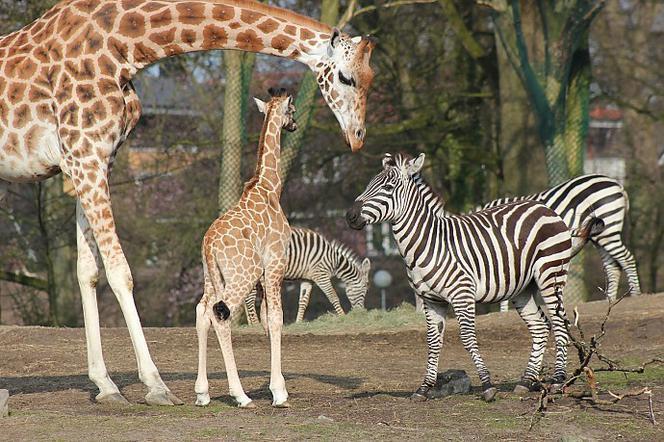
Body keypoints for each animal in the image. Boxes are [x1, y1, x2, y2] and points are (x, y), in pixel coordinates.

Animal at [193, 87, 294, 408]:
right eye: (293, 110)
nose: (294, 125)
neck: (270, 188)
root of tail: (209, 245)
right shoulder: (274, 266)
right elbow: (276, 319)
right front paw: (279, 393)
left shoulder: (263, 277)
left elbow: (265, 322)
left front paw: (278, 385)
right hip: (241, 275)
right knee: (220, 314)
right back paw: (240, 395)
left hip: (212, 277)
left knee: (203, 311)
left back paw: (202, 393)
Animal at [348, 154, 600, 402]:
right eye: (369, 184)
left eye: (388, 187)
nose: (350, 216)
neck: (428, 243)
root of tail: (544, 208)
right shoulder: (431, 300)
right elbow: (433, 342)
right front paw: (424, 388)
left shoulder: (462, 294)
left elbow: (467, 338)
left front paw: (487, 386)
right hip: (523, 288)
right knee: (540, 326)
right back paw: (526, 381)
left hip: (551, 273)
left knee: (559, 323)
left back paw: (558, 381)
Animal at [482, 174, 644, 308]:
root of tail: (618, 185)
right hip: (599, 235)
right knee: (613, 266)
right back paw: (609, 301)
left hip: (608, 229)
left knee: (627, 259)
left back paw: (635, 296)